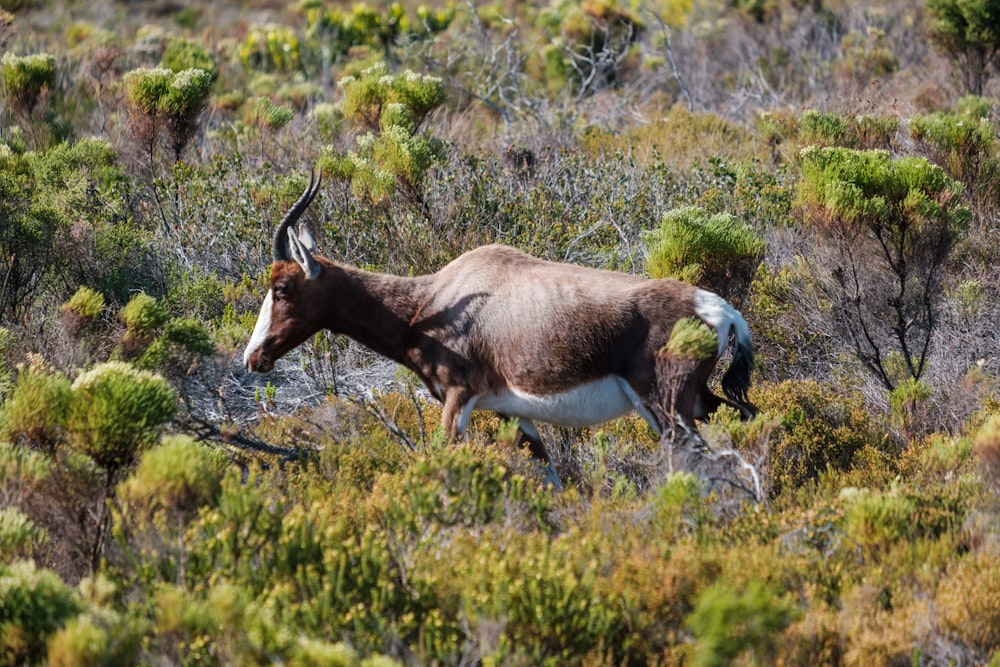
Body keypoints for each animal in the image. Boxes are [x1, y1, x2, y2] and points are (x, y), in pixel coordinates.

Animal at [246, 171, 752, 486]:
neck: (432, 300)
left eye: (282, 288)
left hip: (667, 409)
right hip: (698, 402)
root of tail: (720, 309)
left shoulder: (458, 399)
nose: (254, 358)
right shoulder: (512, 412)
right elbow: (549, 476)